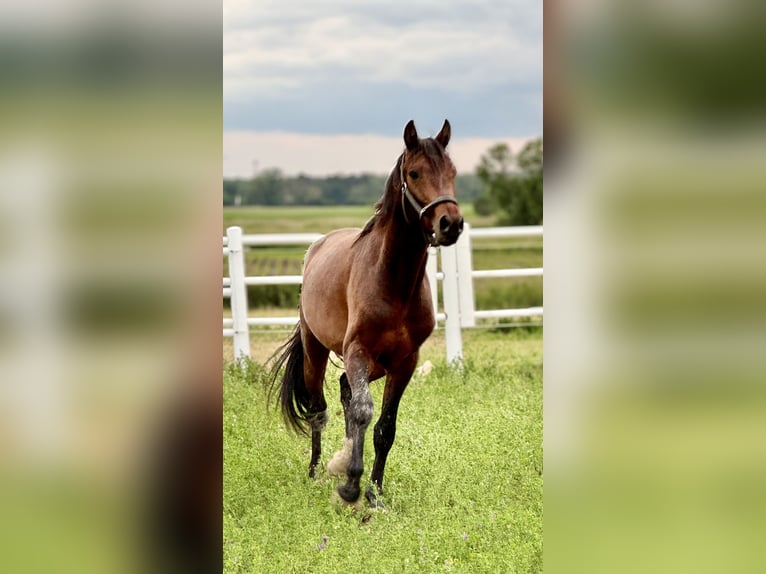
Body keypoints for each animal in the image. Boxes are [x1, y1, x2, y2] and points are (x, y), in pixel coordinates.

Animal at [268, 119, 463, 508]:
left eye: (452, 172)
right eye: (414, 173)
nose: (451, 223)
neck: (393, 282)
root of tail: (316, 247)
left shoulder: (404, 362)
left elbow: (384, 426)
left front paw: (374, 493)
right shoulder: (358, 350)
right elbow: (362, 411)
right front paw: (350, 487)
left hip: (375, 365)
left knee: (345, 389)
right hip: (318, 353)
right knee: (319, 409)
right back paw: (315, 471)